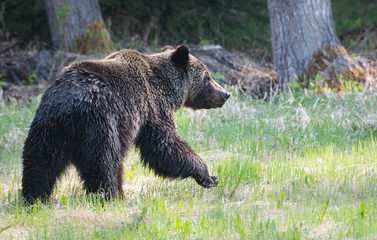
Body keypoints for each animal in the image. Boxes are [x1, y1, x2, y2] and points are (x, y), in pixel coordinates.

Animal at [22, 45, 229, 204]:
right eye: (207, 76)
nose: (225, 94)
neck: (167, 88)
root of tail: (70, 104)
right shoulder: (152, 107)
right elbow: (164, 146)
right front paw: (209, 176)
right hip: (100, 122)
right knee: (103, 162)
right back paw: (108, 197)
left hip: (48, 126)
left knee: (39, 164)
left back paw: (33, 198)